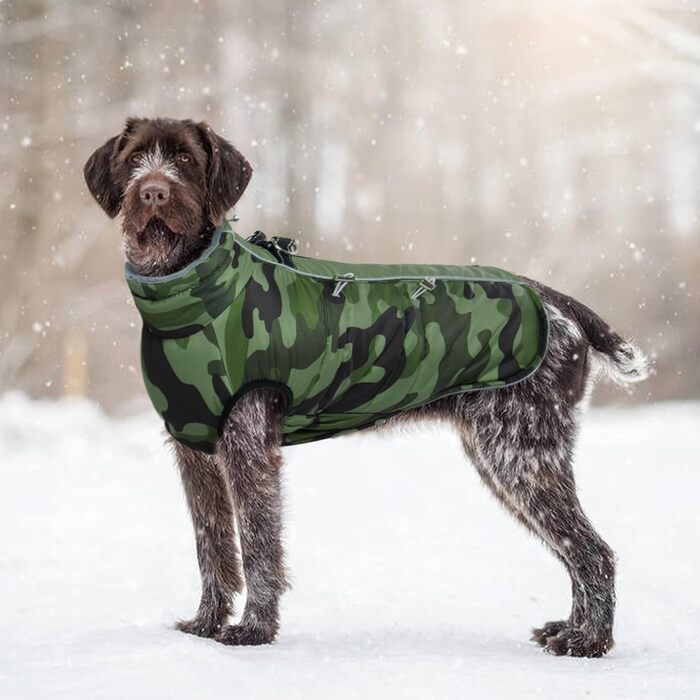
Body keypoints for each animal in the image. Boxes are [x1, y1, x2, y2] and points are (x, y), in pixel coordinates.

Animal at [85, 115, 648, 656]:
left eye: (185, 159)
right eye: (134, 159)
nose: (153, 192)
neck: (190, 293)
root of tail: (560, 302)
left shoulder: (248, 444)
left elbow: (259, 547)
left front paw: (254, 631)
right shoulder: (196, 451)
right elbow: (213, 546)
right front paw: (205, 624)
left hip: (521, 455)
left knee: (593, 552)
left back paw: (588, 643)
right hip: (507, 457)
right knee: (577, 551)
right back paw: (571, 630)